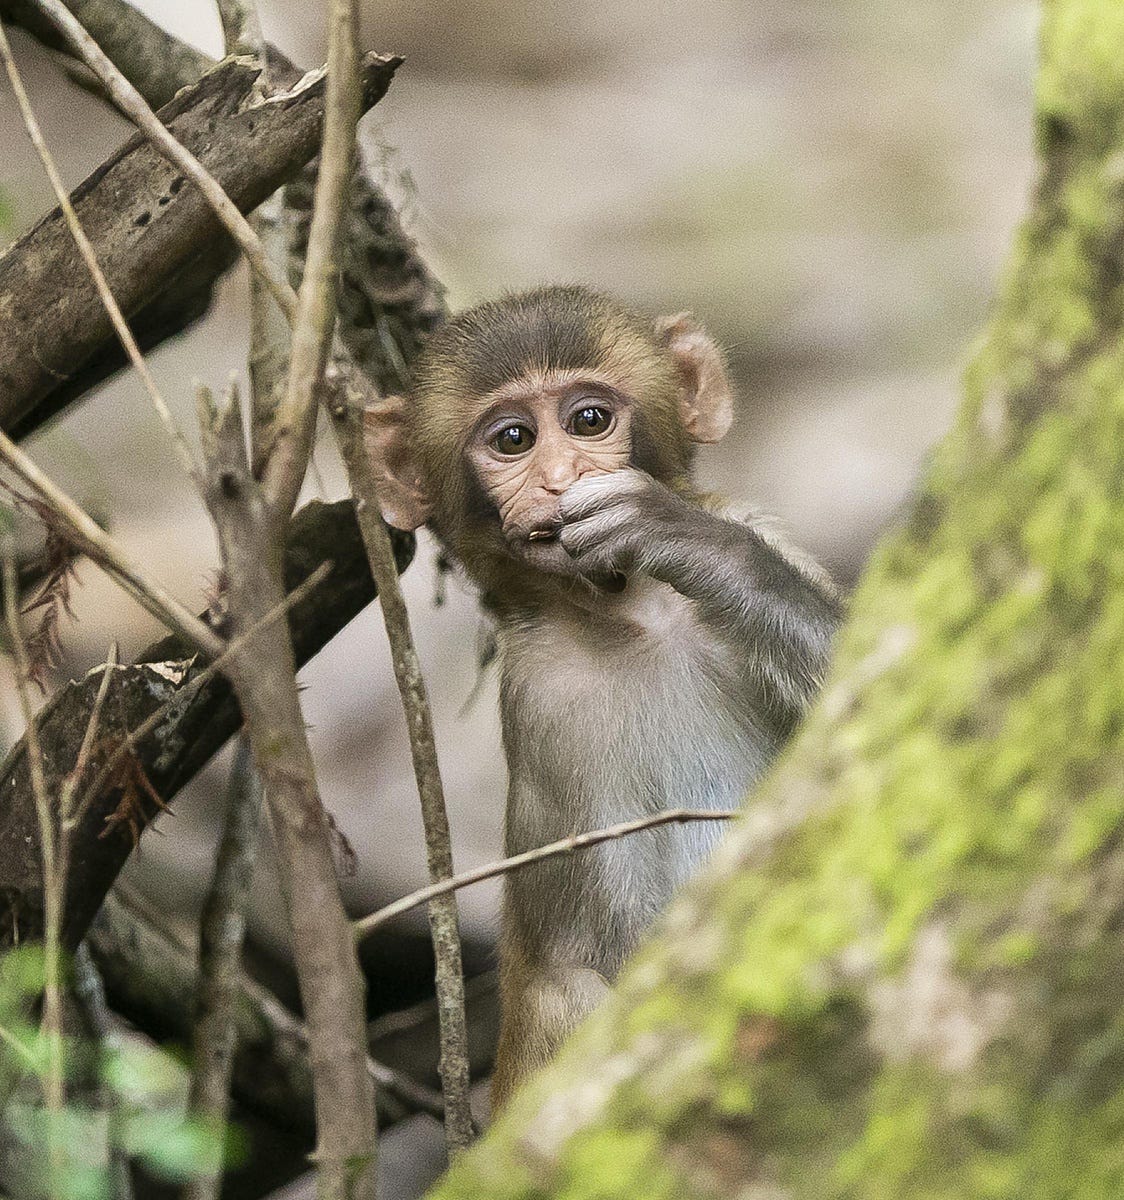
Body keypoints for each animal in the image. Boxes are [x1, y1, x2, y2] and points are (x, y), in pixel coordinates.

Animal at [363, 285, 841, 1109]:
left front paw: (694, 544)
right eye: (513, 439)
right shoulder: (549, 703)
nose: (561, 480)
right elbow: (610, 954)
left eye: (590, 420)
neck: (632, 614)